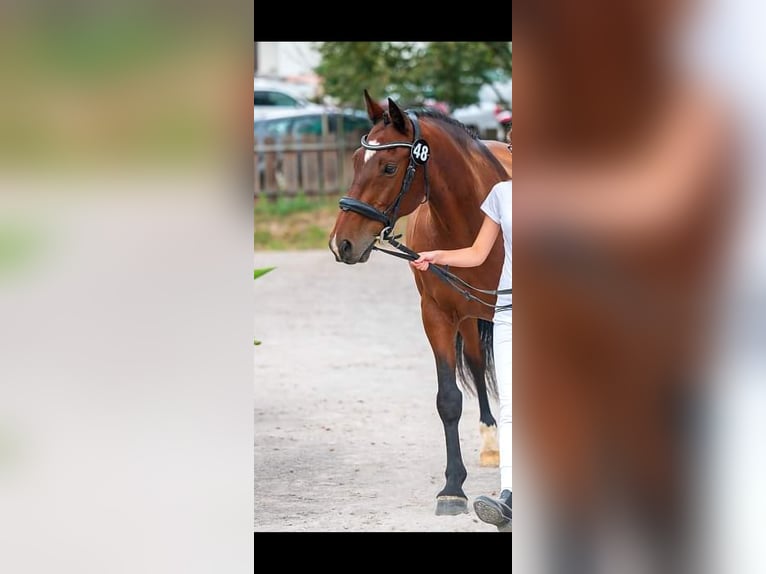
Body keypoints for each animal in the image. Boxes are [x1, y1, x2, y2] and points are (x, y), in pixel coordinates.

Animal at [328, 91, 512, 516]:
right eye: (355, 161)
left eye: (388, 166)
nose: (341, 243)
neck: (473, 224)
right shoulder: (438, 315)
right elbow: (448, 399)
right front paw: (452, 488)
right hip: (470, 316)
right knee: (475, 363)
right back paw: (490, 443)